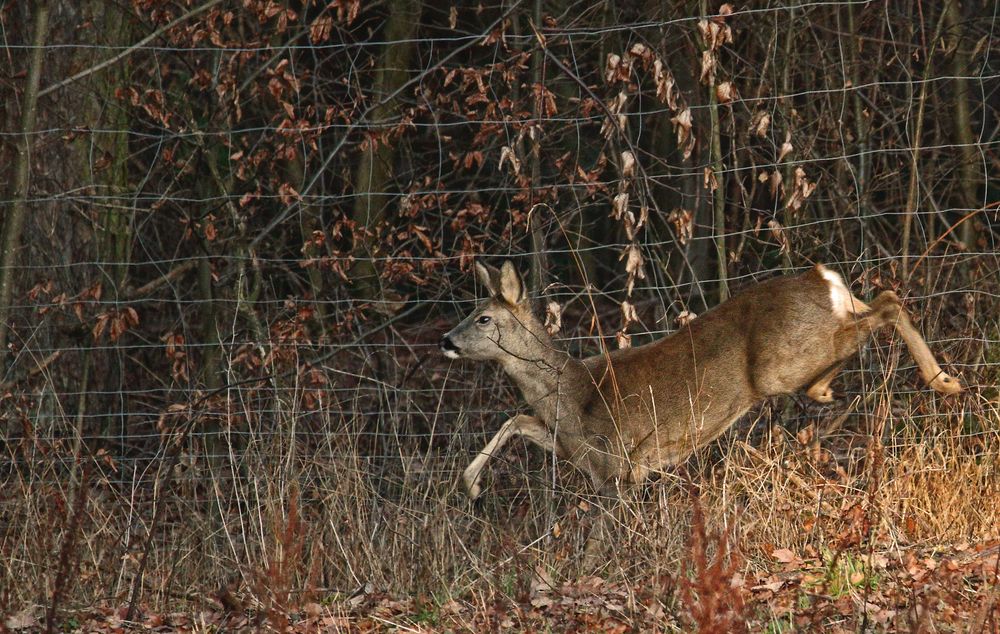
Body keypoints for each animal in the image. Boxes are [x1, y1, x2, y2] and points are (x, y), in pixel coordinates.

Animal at [444, 260, 960, 496]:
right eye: (470, 311)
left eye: (484, 318)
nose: (446, 340)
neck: (571, 393)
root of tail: (823, 278)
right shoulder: (575, 450)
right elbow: (515, 420)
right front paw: (471, 484)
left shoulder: (619, 466)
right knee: (882, 301)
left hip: (782, 363)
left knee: (889, 304)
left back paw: (943, 381)